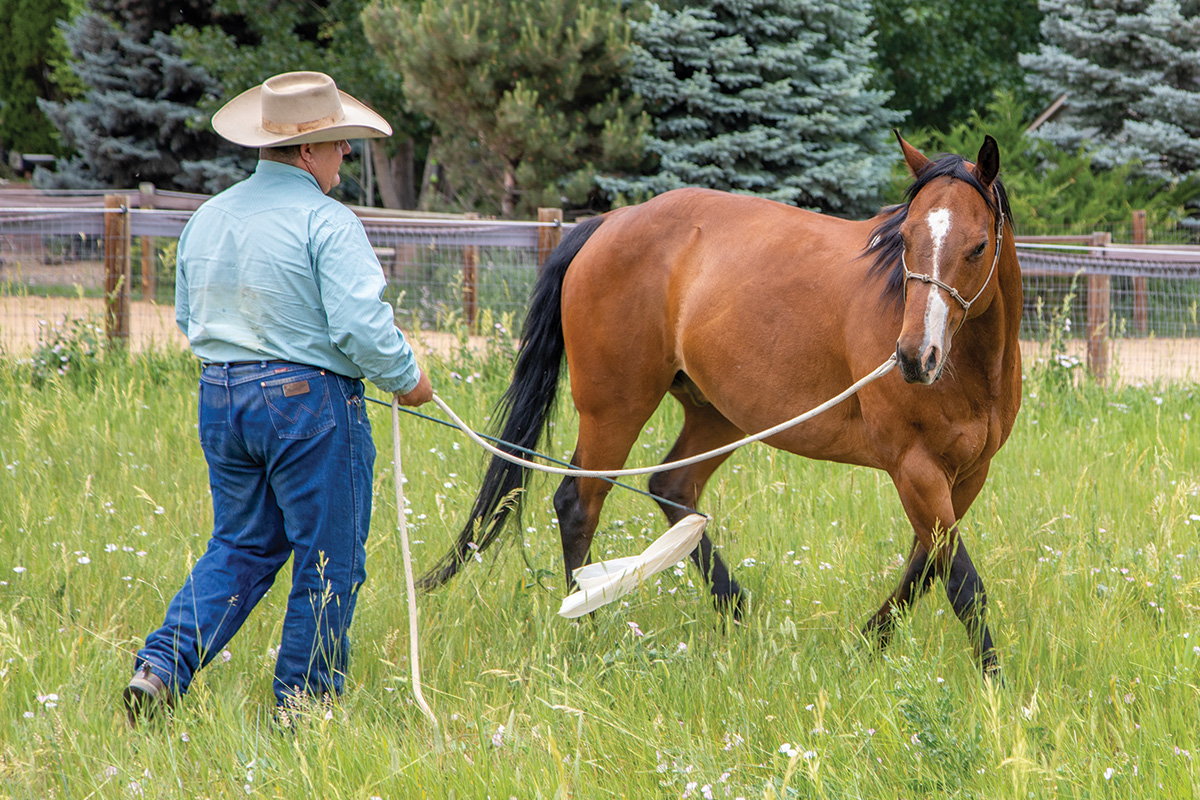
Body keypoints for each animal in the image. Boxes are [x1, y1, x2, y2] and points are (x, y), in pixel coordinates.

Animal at [422, 136, 1022, 676]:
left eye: (976, 247)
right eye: (906, 240)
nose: (915, 357)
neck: (972, 368)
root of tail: (610, 222)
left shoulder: (966, 474)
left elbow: (926, 568)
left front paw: (866, 643)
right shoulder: (914, 468)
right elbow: (962, 582)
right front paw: (992, 682)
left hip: (717, 415)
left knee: (671, 487)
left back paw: (737, 612)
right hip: (614, 410)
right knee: (578, 503)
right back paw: (587, 626)